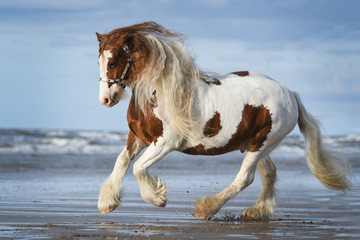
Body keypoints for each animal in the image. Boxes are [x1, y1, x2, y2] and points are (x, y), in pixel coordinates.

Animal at [94, 21, 350, 220]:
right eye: (98, 61)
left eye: (113, 62)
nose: (105, 99)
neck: (160, 92)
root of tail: (290, 94)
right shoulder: (137, 137)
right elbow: (122, 161)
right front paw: (107, 203)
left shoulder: (166, 142)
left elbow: (138, 167)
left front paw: (158, 198)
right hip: (256, 144)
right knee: (269, 173)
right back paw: (257, 211)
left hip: (261, 144)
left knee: (245, 178)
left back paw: (206, 209)